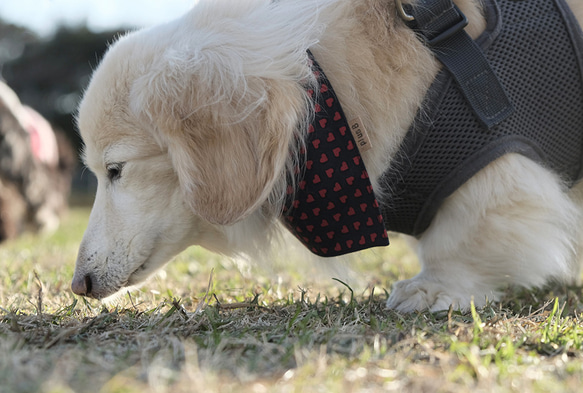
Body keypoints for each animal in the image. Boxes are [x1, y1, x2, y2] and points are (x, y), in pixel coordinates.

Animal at [72, 0, 583, 312]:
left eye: (115, 170)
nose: (78, 284)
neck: (325, 80)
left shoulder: (495, 168)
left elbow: (463, 241)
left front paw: (432, 288)